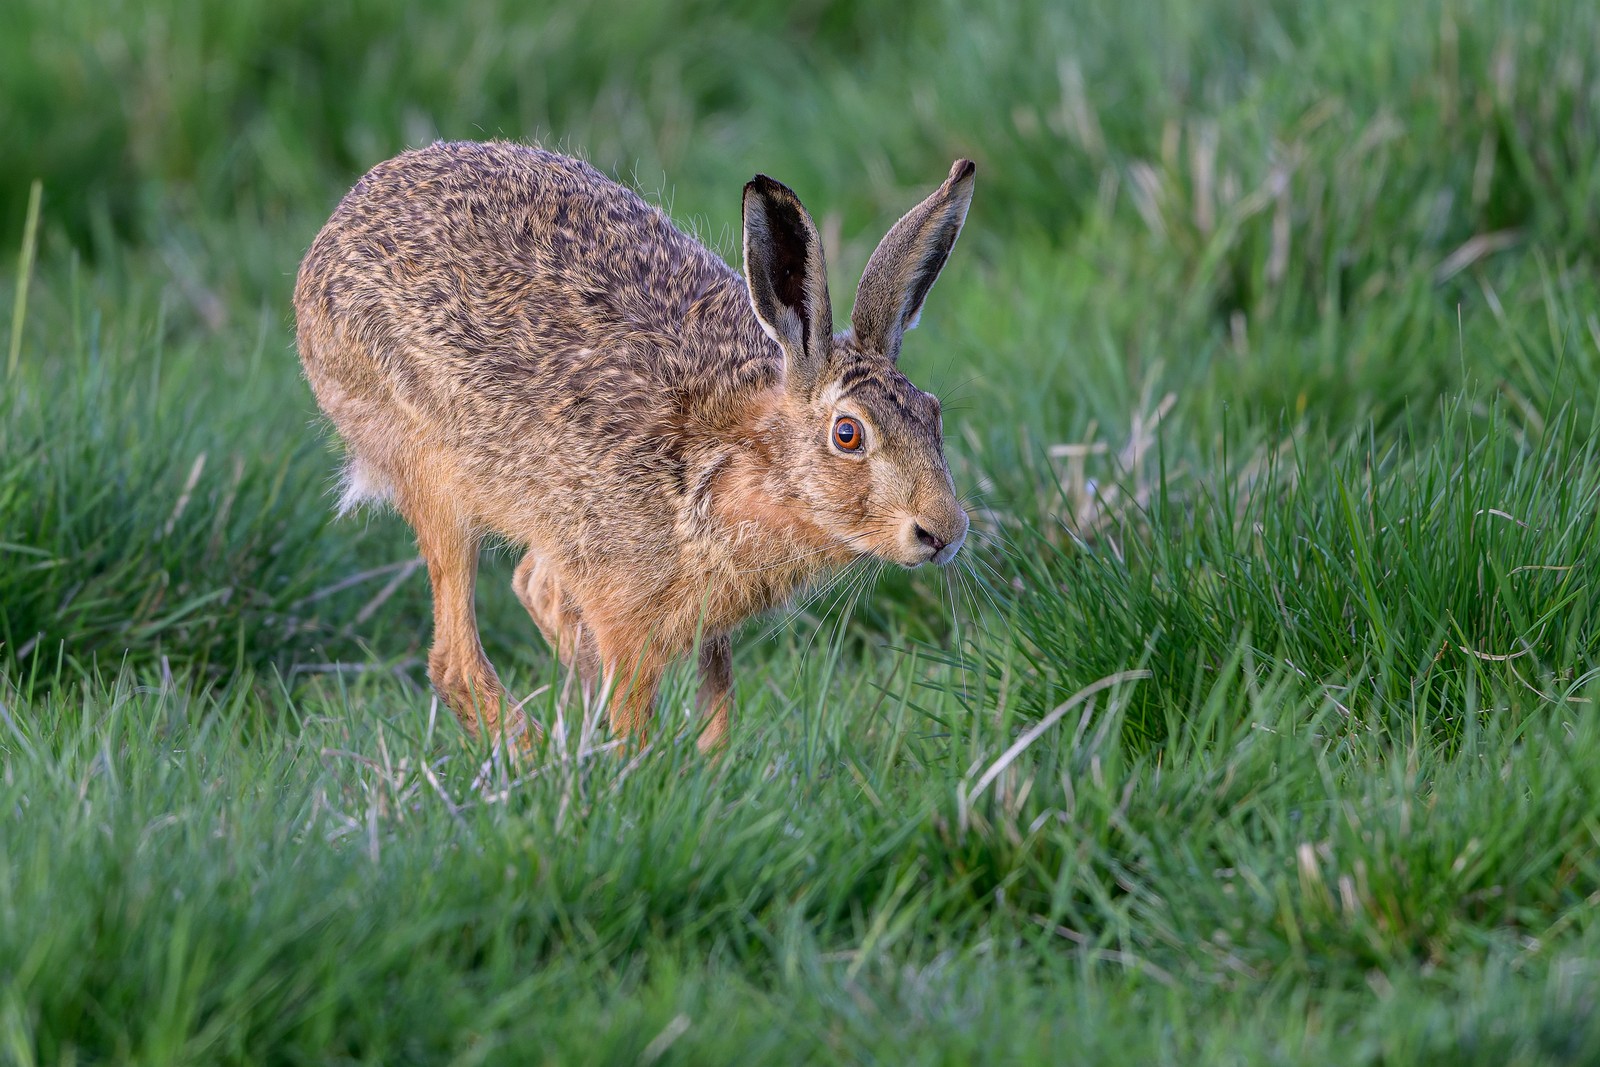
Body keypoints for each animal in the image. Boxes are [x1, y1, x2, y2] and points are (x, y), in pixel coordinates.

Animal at [294, 140, 975, 751]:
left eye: (933, 415)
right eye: (848, 434)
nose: (943, 532)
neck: (739, 462)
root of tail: (335, 227)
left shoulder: (705, 622)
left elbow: (718, 698)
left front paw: (709, 772)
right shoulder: (626, 614)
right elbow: (634, 709)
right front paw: (637, 776)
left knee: (535, 587)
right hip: (431, 472)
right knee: (455, 660)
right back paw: (539, 759)